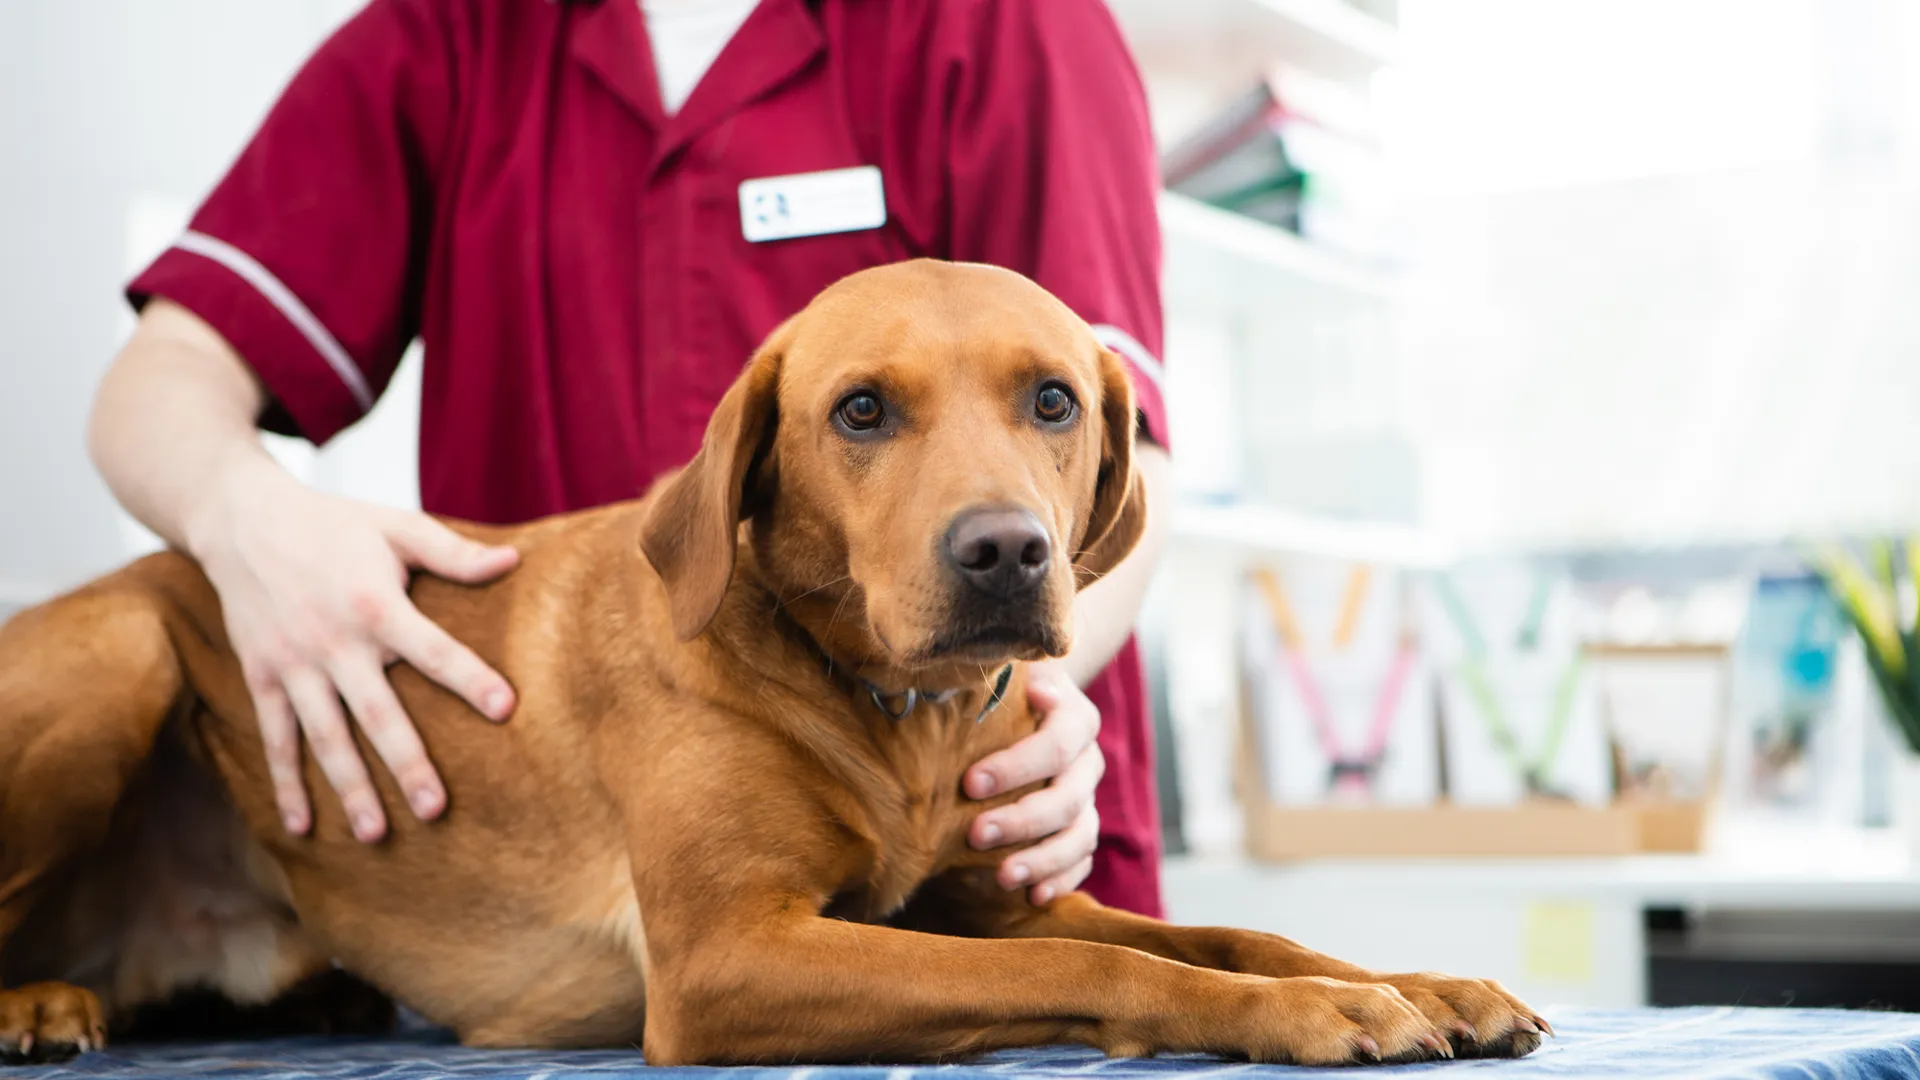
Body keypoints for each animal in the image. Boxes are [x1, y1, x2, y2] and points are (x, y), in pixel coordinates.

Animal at [0, 259, 1543, 1060]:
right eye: (860, 412)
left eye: (1053, 400)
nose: (1003, 554)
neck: (894, 718)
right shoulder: (727, 963)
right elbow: (1119, 966)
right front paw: (1304, 1012)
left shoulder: (985, 902)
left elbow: (1226, 932)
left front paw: (1408, 981)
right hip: (124, 651)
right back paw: (37, 1003)